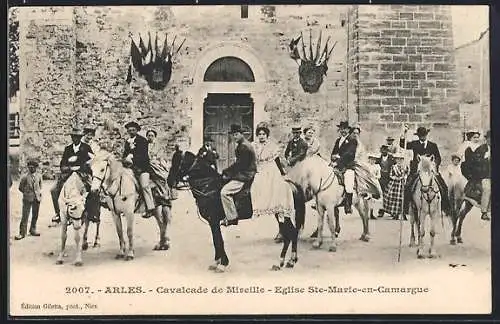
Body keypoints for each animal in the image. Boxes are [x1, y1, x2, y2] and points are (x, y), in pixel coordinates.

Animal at [170, 151, 306, 270]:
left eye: (177, 162)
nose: (169, 182)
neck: (209, 186)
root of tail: (290, 184)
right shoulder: (212, 222)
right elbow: (216, 240)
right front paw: (216, 262)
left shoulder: (213, 221)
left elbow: (218, 241)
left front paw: (222, 264)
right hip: (280, 214)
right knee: (291, 234)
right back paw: (287, 261)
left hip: (282, 213)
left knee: (291, 234)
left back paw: (284, 261)